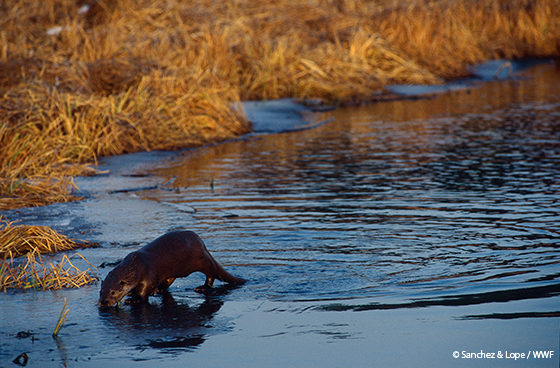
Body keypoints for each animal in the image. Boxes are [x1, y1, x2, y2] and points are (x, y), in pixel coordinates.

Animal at [98, 230, 245, 308]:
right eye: (101, 292)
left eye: (113, 292)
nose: (103, 302)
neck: (135, 266)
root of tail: (202, 244)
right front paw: (132, 294)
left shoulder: (147, 275)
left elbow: (145, 290)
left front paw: (133, 299)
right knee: (169, 280)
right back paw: (159, 289)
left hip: (202, 260)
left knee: (211, 272)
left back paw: (202, 287)